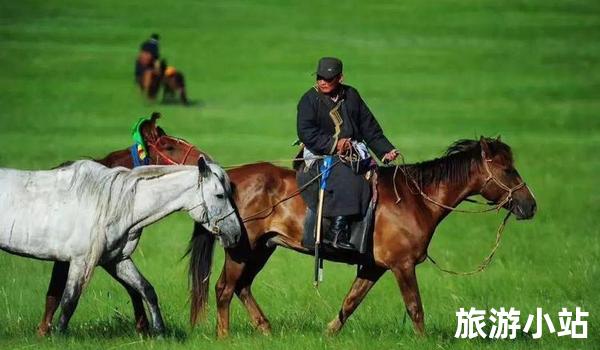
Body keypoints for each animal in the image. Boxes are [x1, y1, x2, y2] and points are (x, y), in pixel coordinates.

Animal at [0, 158, 239, 334]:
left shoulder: (116, 260)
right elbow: (69, 300)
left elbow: (146, 289)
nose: (236, 234)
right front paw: (59, 335)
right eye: (220, 195)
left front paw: (159, 332)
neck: (115, 204)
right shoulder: (80, 261)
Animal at [190, 136, 536, 336]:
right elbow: (415, 307)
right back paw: (225, 337)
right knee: (224, 289)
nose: (530, 205)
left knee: (242, 287)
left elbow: (351, 302)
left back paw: (266, 330)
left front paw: (328, 335)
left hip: (263, 248)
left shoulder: (374, 267)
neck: (415, 199)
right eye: (508, 170)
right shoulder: (402, 266)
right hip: (241, 250)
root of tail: (228, 177)